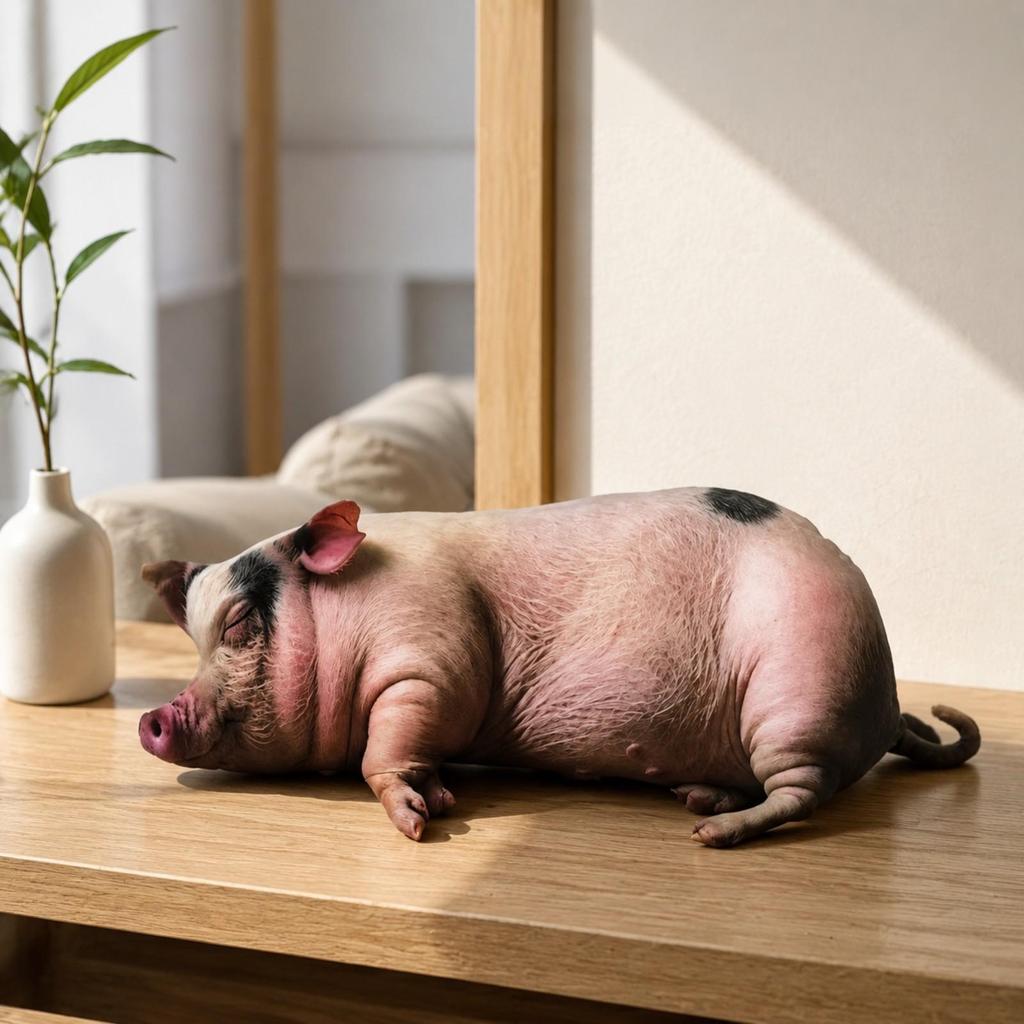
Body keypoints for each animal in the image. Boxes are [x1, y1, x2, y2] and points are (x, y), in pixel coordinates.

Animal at [138, 487, 980, 847]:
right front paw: (438, 795)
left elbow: (391, 745)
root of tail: (887, 703)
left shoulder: (432, 658)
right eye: (194, 640)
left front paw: (418, 820)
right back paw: (699, 796)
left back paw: (709, 831)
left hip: (802, 687)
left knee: (804, 793)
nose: (153, 717)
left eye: (239, 623)